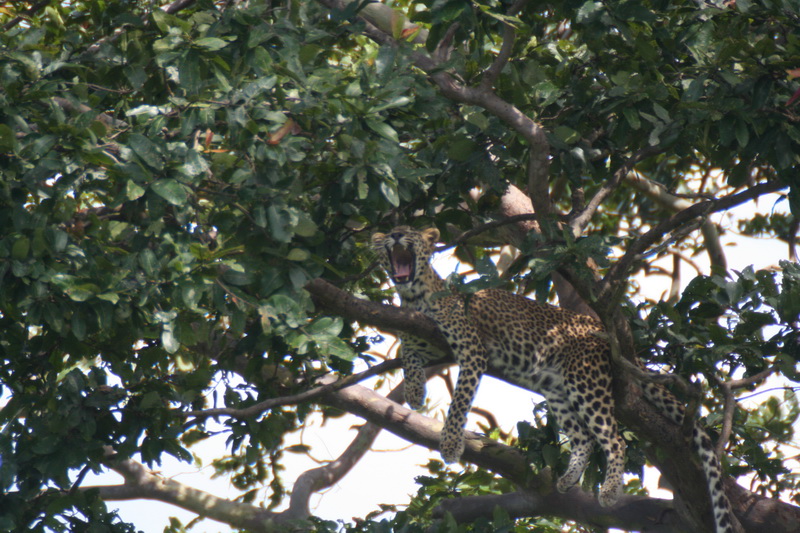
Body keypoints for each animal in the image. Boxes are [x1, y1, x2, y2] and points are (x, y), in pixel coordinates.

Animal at [374, 224, 736, 532]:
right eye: (391, 233)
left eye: (407, 232)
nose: (395, 235)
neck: (414, 296)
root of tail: (598, 326)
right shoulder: (421, 342)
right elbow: (408, 357)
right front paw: (415, 392)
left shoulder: (471, 350)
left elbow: (459, 401)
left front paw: (450, 444)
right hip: (556, 389)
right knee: (584, 438)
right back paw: (566, 480)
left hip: (586, 380)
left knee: (613, 438)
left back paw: (609, 492)